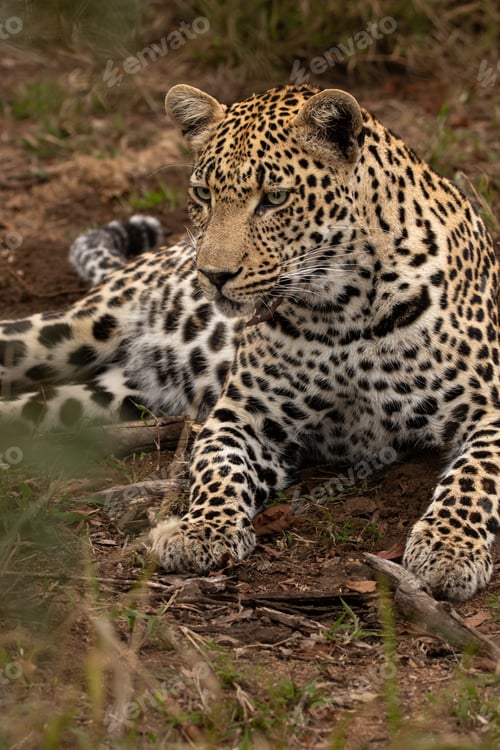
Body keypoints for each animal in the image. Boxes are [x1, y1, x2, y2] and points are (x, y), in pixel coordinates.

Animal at [1, 84, 498, 602]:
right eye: (203, 194)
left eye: (275, 198)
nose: (212, 275)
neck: (344, 309)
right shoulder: (243, 414)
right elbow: (219, 468)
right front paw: (203, 530)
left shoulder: (488, 410)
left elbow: (474, 478)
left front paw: (450, 549)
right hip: (78, 328)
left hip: (108, 396)